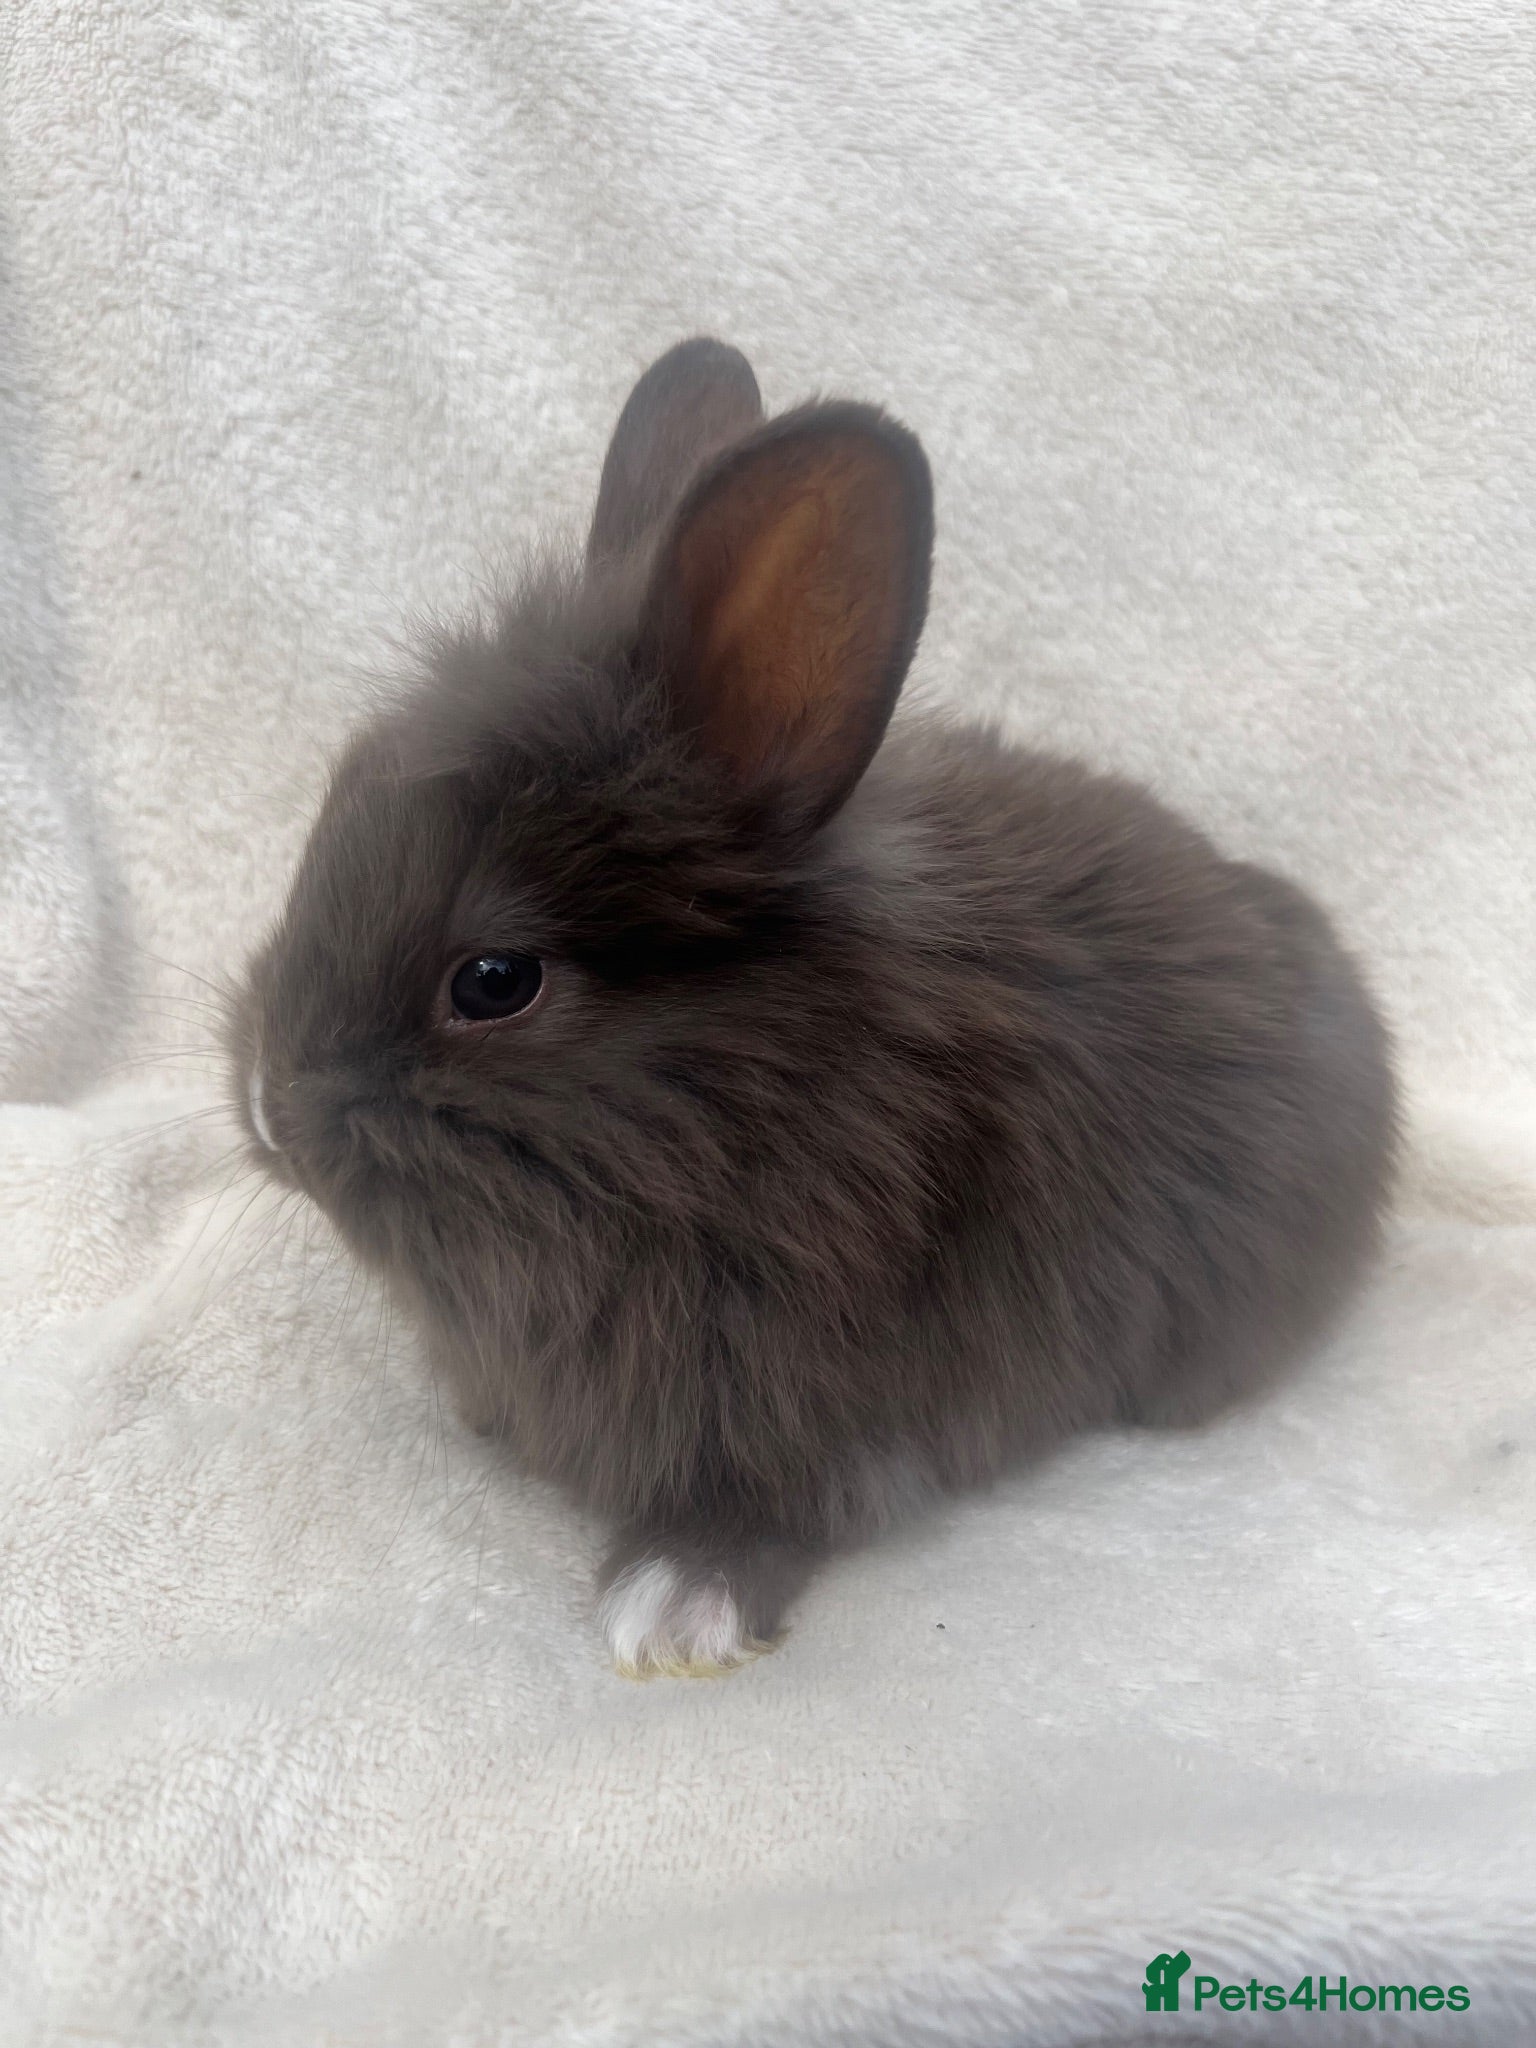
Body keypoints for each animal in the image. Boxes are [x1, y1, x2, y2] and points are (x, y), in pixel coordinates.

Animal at [232, 338, 1398, 1678]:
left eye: (494, 981)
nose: (266, 1108)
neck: (753, 1105)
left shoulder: (809, 1403)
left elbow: (771, 1506)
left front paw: (671, 1599)